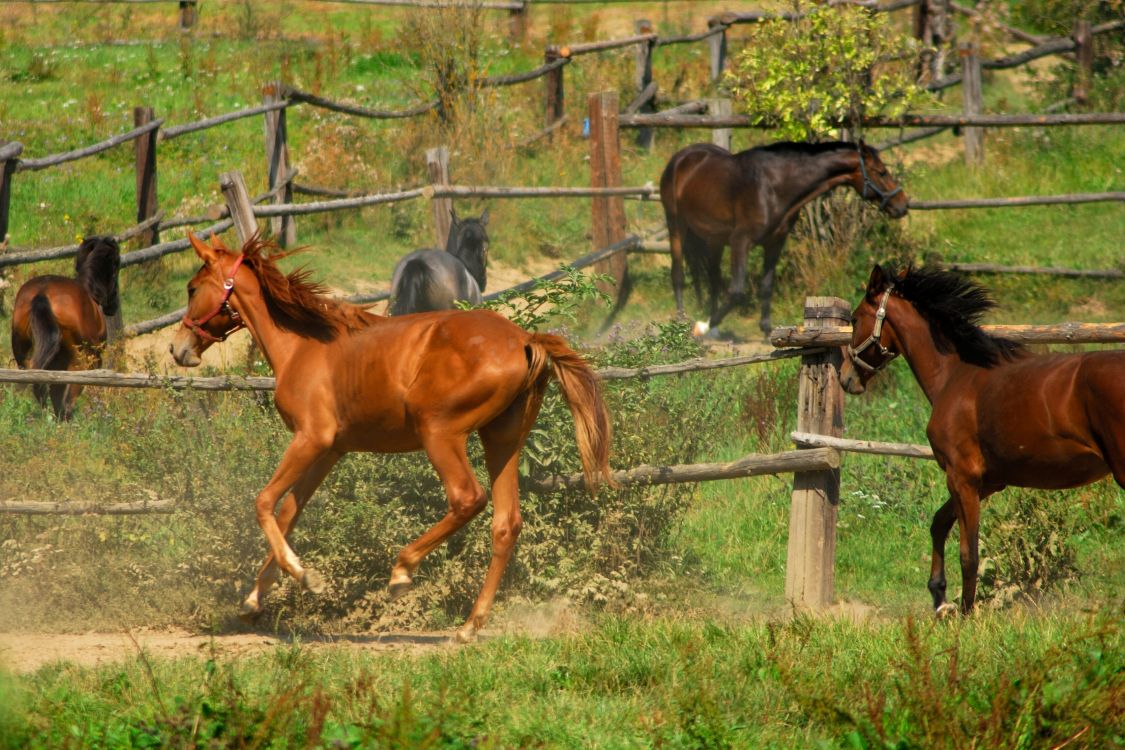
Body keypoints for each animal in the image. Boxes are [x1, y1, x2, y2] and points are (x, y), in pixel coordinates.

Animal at [10, 235, 121, 420]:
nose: (113, 305)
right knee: (68, 402)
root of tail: (42, 292)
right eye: (117, 264)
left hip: (24, 355)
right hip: (79, 364)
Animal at [169, 233, 613, 643]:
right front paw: (253, 601)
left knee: (468, 498)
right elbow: (288, 513)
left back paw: (402, 572)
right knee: (506, 524)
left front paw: (305, 576)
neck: (301, 347)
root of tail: (525, 340)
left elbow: (263, 503)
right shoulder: (329, 451)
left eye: (192, 288)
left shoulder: (310, 439)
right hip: (502, 441)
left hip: (440, 433)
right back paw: (469, 627)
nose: (177, 348)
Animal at [659, 140, 909, 337]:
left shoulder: (774, 243)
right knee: (678, 274)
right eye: (881, 172)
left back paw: (714, 328)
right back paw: (686, 320)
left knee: (712, 279)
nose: (902, 205)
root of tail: (681, 158)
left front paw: (767, 331)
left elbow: (766, 286)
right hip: (677, 226)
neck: (773, 185)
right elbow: (737, 291)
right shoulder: (741, 241)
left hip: (714, 239)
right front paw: (701, 327)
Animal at [841, 264, 1125, 617]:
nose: (846, 378)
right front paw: (939, 597)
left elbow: (969, 554)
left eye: (855, 319)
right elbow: (938, 523)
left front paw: (964, 613)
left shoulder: (961, 478)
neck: (954, 375)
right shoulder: (988, 481)